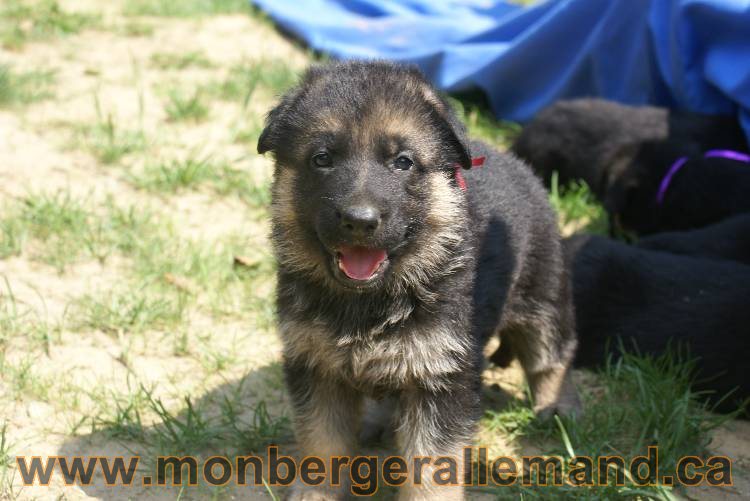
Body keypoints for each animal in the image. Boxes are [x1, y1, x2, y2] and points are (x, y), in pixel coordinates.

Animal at [258, 60, 580, 498]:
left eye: (403, 162)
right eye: (322, 158)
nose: (359, 221)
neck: (370, 299)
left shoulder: (441, 377)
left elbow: (431, 465)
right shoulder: (316, 366)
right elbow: (322, 443)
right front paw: (316, 491)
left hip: (543, 294)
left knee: (551, 355)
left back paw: (556, 406)